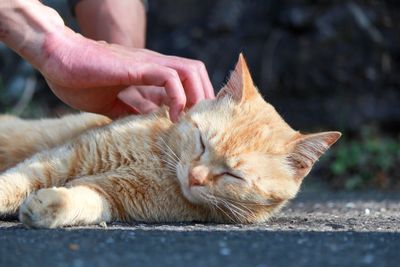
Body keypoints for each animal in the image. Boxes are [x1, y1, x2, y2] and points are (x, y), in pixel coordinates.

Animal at [0, 54, 340, 228]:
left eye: (233, 175)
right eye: (202, 142)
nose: (195, 176)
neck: (159, 164)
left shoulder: (111, 197)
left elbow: (81, 200)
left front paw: (49, 205)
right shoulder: (65, 157)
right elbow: (14, 183)